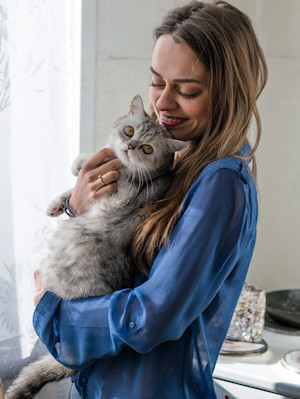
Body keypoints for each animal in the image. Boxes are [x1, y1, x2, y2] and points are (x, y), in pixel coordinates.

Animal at [5, 96, 185, 399]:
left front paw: (82, 162)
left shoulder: (119, 192)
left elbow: (93, 160)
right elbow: (79, 179)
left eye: (147, 148)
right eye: (129, 131)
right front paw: (57, 202)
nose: (129, 146)